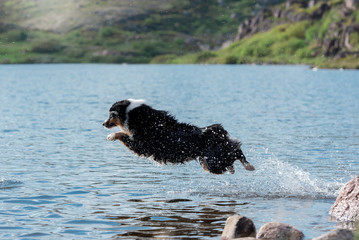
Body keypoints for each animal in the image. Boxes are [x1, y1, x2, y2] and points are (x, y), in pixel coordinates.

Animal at [102, 99, 255, 174]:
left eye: (112, 115)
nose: (103, 124)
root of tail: (217, 132)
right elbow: (124, 133)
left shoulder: (140, 145)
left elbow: (122, 134)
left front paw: (111, 136)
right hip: (215, 158)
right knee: (235, 152)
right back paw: (241, 167)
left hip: (213, 162)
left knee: (237, 152)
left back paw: (248, 166)